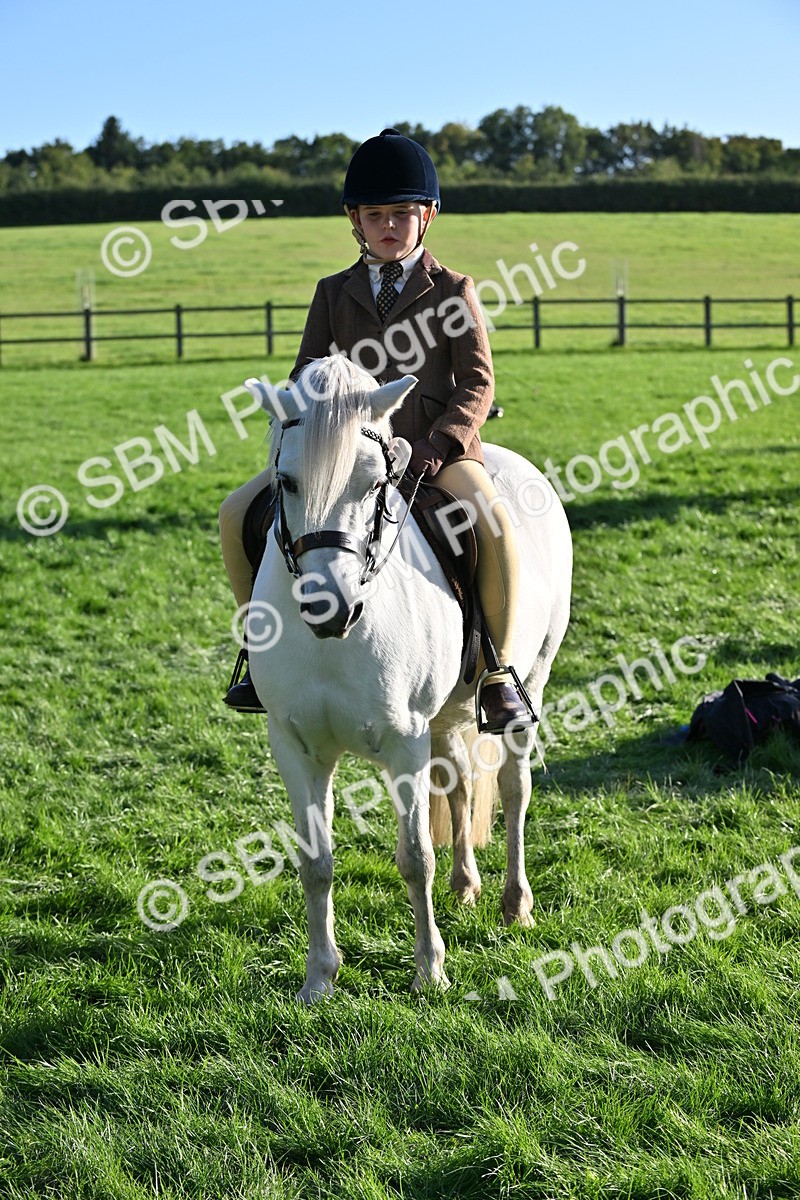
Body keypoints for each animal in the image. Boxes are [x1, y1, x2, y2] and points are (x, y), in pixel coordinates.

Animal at [243, 355, 572, 1003]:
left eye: (375, 483)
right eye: (286, 482)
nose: (329, 608)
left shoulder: (403, 743)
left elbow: (416, 855)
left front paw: (430, 971)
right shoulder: (295, 747)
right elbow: (315, 862)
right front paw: (319, 977)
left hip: (530, 682)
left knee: (515, 790)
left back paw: (514, 904)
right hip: (443, 717)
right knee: (462, 783)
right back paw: (466, 885)